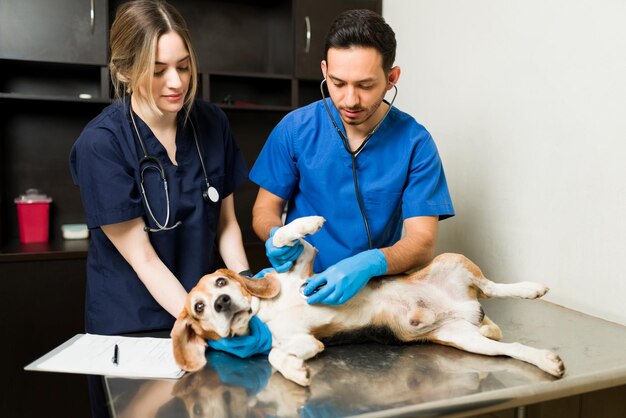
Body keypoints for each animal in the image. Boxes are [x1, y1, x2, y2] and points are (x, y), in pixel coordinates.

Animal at [172, 217, 564, 386]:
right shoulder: (303, 341)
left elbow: (286, 235)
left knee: (492, 287)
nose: (222, 302)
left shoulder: (302, 270)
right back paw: (545, 359)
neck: (264, 313)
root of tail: (466, 308)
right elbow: (274, 355)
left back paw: (531, 288)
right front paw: (296, 371)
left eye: (221, 281)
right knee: (508, 348)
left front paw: (309, 223)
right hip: (465, 339)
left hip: (453, 261)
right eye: (199, 308)